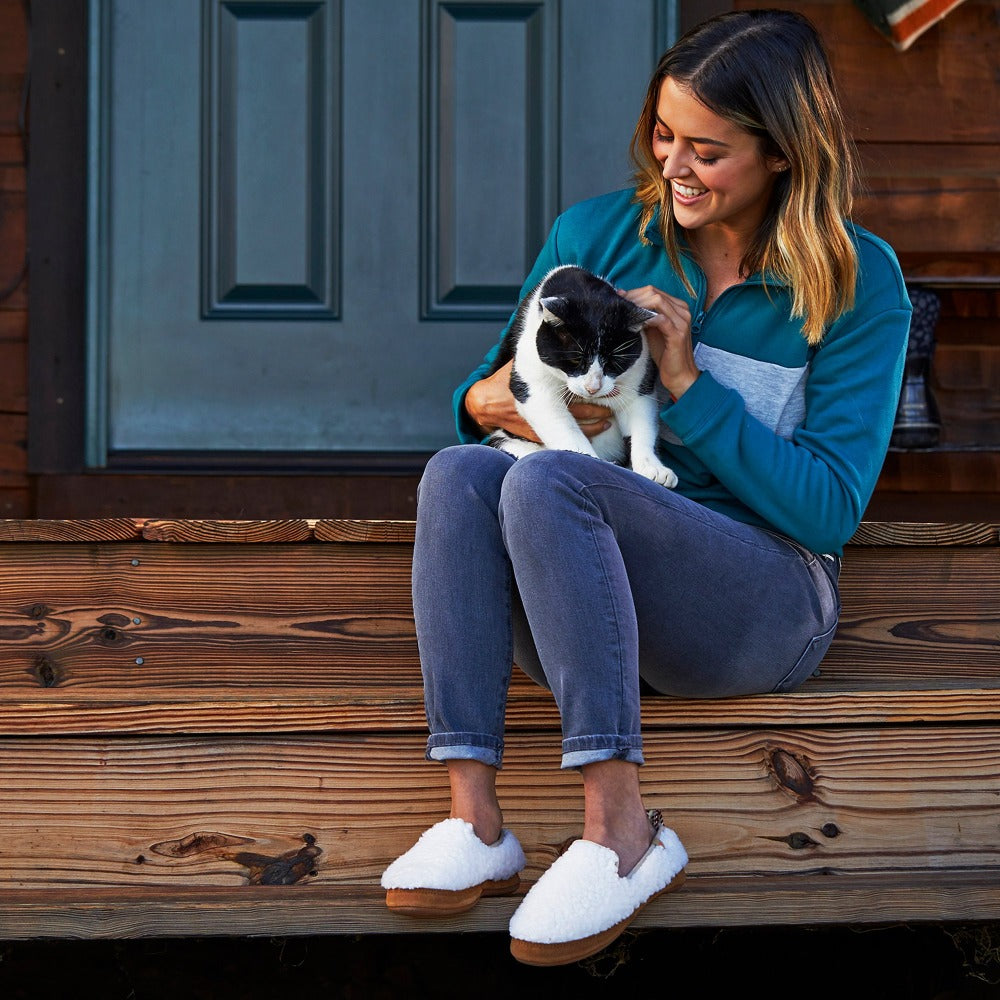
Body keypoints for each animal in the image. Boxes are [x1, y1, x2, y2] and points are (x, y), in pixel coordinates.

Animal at [484, 264, 680, 486]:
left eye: (613, 362)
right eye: (575, 360)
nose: (592, 388)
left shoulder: (638, 380)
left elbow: (641, 424)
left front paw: (652, 467)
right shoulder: (532, 382)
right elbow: (564, 429)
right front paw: (590, 460)